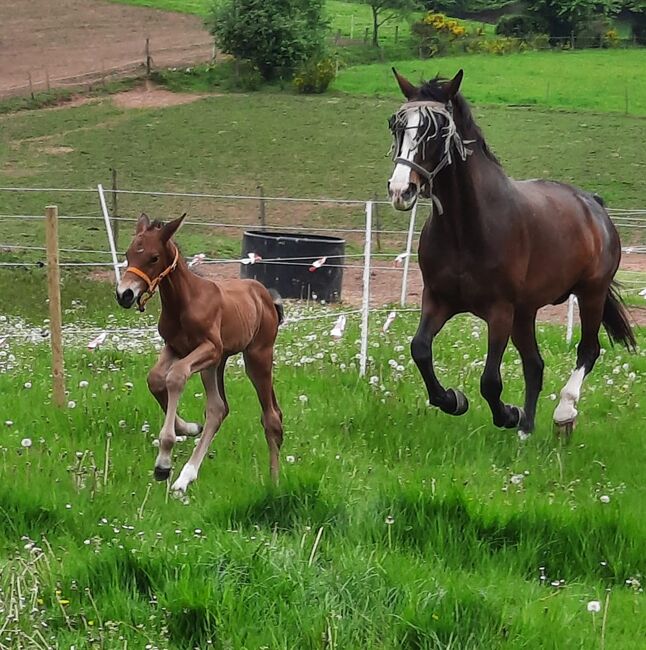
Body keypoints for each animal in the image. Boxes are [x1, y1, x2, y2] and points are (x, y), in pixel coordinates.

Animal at [114, 213, 286, 492]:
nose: (124, 294)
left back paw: (274, 480)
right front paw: (189, 428)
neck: (185, 301)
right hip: (216, 363)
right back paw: (186, 476)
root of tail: (266, 298)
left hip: (256, 356)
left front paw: (163, 461)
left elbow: (176, 376)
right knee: (218, 409)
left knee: (271, 417)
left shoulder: (209, 348)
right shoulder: (175, 347)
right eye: (128, 254)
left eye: (154, 257)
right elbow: (155, 379)